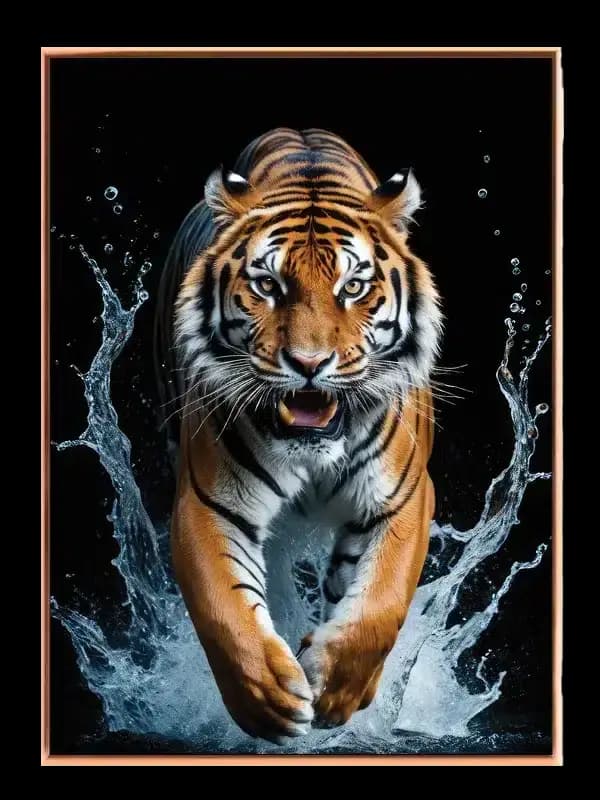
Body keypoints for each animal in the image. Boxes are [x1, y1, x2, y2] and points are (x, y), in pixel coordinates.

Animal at [155, 128, 442, 744]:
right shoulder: (207, 499)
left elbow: (380, 604)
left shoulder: (404, 496)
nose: (309, 364)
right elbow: (224, 610)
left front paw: (335, 688)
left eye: (353, 287)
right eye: (267, 284)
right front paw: (270, 699)